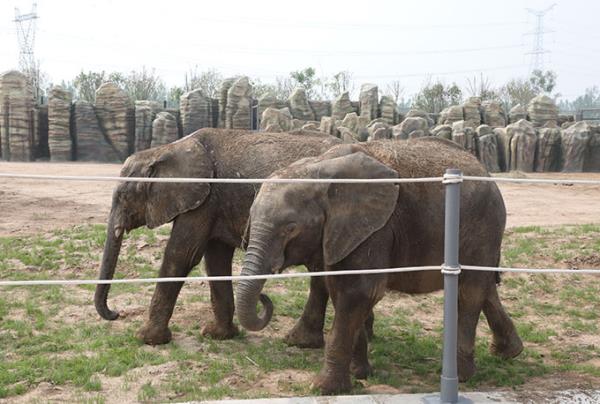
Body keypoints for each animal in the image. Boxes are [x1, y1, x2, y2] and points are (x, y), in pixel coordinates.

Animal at [93, 129, 342, 348]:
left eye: (123, 196)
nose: (116, 313)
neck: (166, 150)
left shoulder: (204, 201)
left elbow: (181, 256)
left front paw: (147, 339)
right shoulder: (214, 202)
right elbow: (215, 260)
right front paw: (218, 335)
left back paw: (301, 343)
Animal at [237, 138, 524, 394]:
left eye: (290, 228)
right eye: (250, 216)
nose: (265, 298)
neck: (319, 167)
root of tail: (486, 171)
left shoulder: (376, 229)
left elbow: (361, 291)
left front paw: (323, 388)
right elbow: (340, 290)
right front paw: (359, 374)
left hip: (484, 225)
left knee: (469, 292)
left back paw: (462, 376)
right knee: (484, 287)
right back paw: (509, 353)